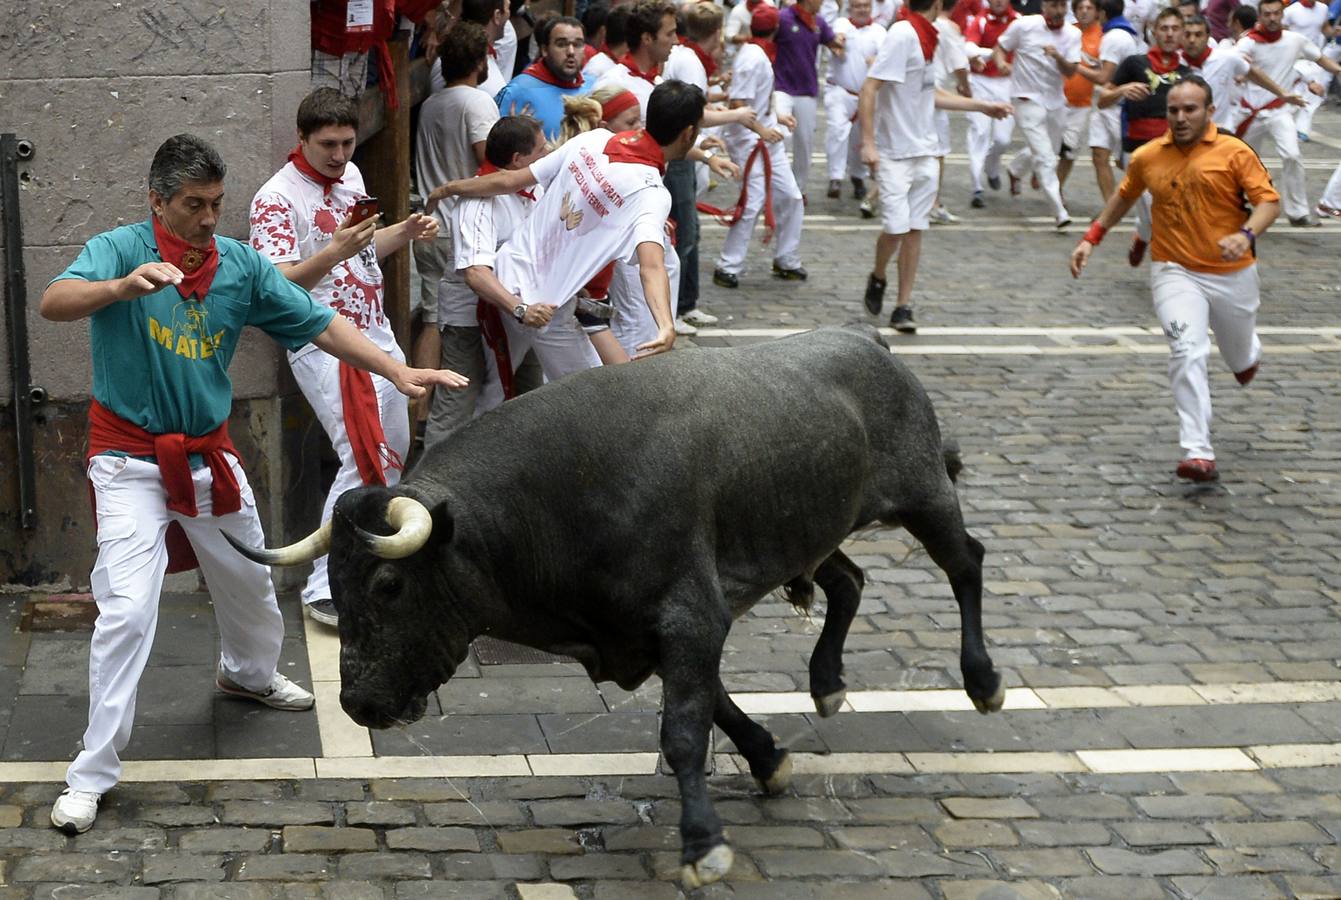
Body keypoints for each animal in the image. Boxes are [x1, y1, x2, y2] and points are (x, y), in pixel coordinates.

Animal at [233, 324, 1008, 885]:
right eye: (335, 583)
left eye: (389, 586)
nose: (358, 702)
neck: (554, 500)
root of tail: (869, 345)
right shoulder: (651, 634)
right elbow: (715, 704)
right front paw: (767, 759)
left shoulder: (691, 618)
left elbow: (685, 729)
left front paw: (701, 844)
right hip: (812, 533)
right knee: (848, 582)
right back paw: (825, 683)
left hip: (925, 495)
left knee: (966, 563)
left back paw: (983, 681)